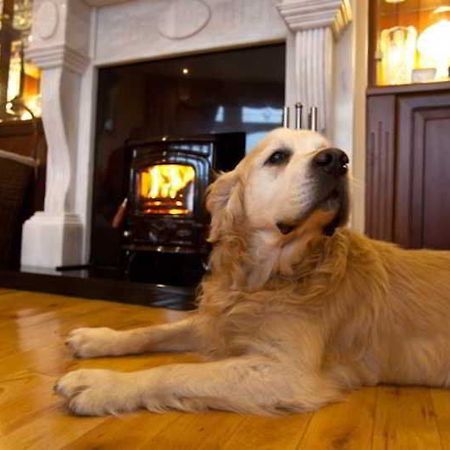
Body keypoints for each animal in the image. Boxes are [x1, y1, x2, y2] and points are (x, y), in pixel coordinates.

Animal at [55, 126, 450, 414]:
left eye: (333, 151)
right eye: (278, 156)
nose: (338, 159)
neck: (265, 280)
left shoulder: (289, 372)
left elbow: (177, 370)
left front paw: (101, 384)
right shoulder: (216, 323)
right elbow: (153, 331)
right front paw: (98, 338)